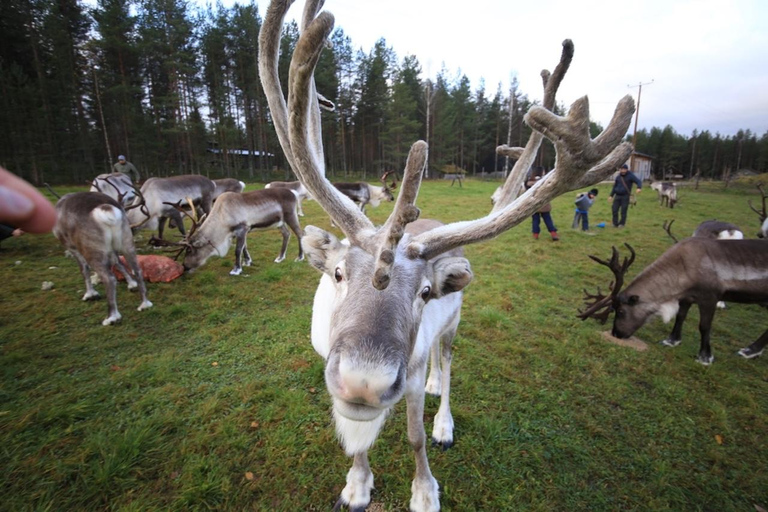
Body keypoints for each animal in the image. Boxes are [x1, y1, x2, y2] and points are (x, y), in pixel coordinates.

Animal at [53, 191, 153, 325]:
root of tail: (106, 209)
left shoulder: (71, 247)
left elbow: (84, 269)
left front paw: (90, 294)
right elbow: (118, 263)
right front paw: (132, 284)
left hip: (92, 251)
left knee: (109, 278)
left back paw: (112, 317)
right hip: (127, 243)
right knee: (137, 270)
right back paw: (145, 304)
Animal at [160, 188, 304, 275]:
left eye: (190, 250)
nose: (184, 266)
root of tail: (293, 192)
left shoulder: (242, 228)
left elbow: (237, 250)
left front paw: (236, 269)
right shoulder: (239, 232)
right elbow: (244, 247)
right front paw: (247, 262)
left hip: (290, 215)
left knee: (300, 233)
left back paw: (299, 257)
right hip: (279, 222)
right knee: (286, 234)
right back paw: (280, 257)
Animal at [259, 2, 634, 510]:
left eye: (423, 292)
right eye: (337, 273)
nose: (364, 383)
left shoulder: (414, 367)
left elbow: (414, 436)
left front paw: (425, 490)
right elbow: (355, 439)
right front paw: (357, 484)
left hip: (454, 324)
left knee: (448, 363)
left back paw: (444, 417)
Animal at [579, 239, 768, 365]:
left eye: (621, 311)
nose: (616, 333)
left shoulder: (710, 296)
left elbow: (704, 326)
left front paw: (705, 356)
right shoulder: (686, 296)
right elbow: (680, 317)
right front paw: (672, 340)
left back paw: (749, 350)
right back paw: (751, 350)